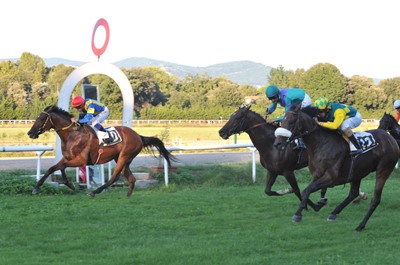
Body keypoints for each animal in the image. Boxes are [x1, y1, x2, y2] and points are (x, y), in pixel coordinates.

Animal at [28, 104, 177, 196]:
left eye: (42, 118)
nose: (30, 133)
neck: (73, 134)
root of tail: (138, 136)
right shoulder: (67, 157)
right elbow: (52, 168)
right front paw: (36, 188)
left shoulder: (81, 160)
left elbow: (63, 167)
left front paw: (69, 184)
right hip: (123, 159)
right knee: (131, 178)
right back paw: (128, 196)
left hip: (124, 156)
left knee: (114, 176)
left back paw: (94, 192)